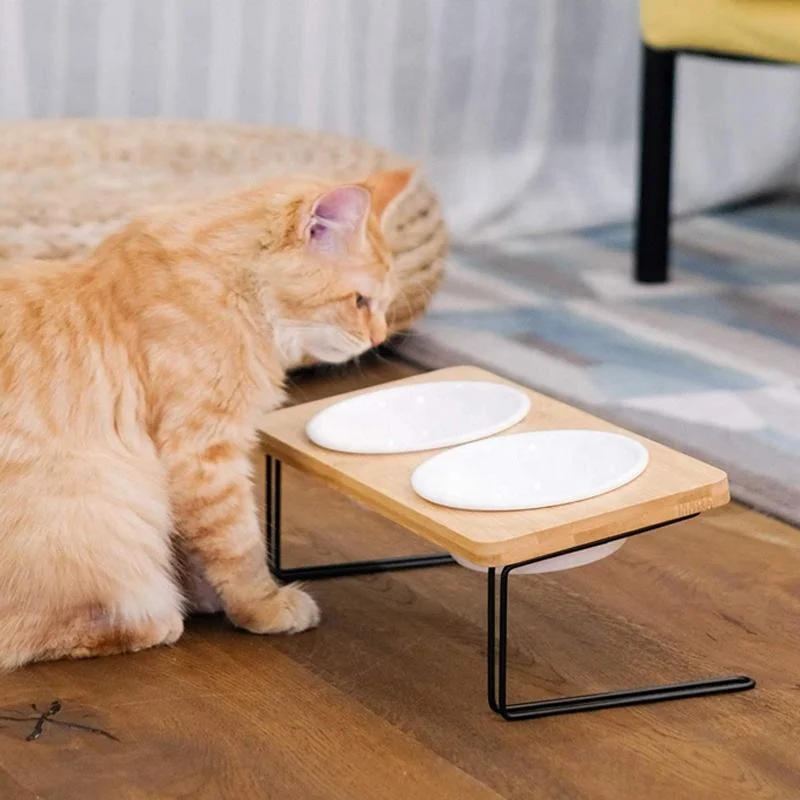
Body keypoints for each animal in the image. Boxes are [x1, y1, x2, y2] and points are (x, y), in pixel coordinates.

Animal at [0, 169, 412, 668]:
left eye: (383, 304)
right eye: (360, 301)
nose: (378, 338)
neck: (231, 288)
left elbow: (197, 546)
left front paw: (206, 594)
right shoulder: (203, 452)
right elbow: (239, 546)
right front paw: (264, 605)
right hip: (99, 507)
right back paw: (155, 621)